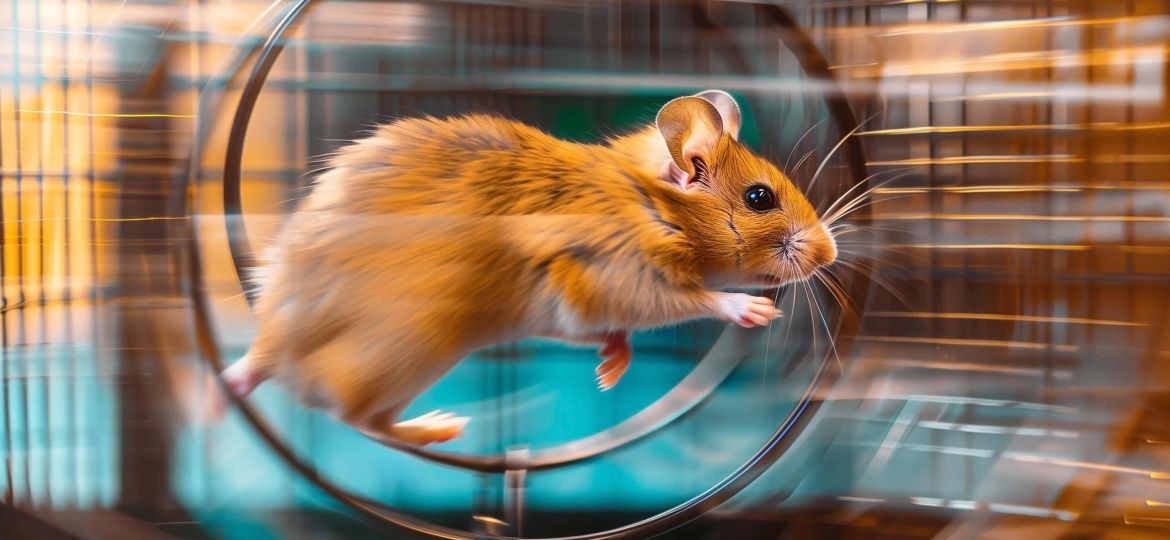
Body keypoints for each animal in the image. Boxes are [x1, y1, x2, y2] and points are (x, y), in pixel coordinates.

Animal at [214, 90, 837, 446]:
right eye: (760, 198)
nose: (831, 254)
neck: (650, 205)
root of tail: (268, 349)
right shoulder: (615, 274)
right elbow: (689, 299)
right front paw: (753, 311)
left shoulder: (572, 314)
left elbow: (610, 333)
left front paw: (609, 372)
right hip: (408, 352)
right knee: (358, 419)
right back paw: (442, 426)